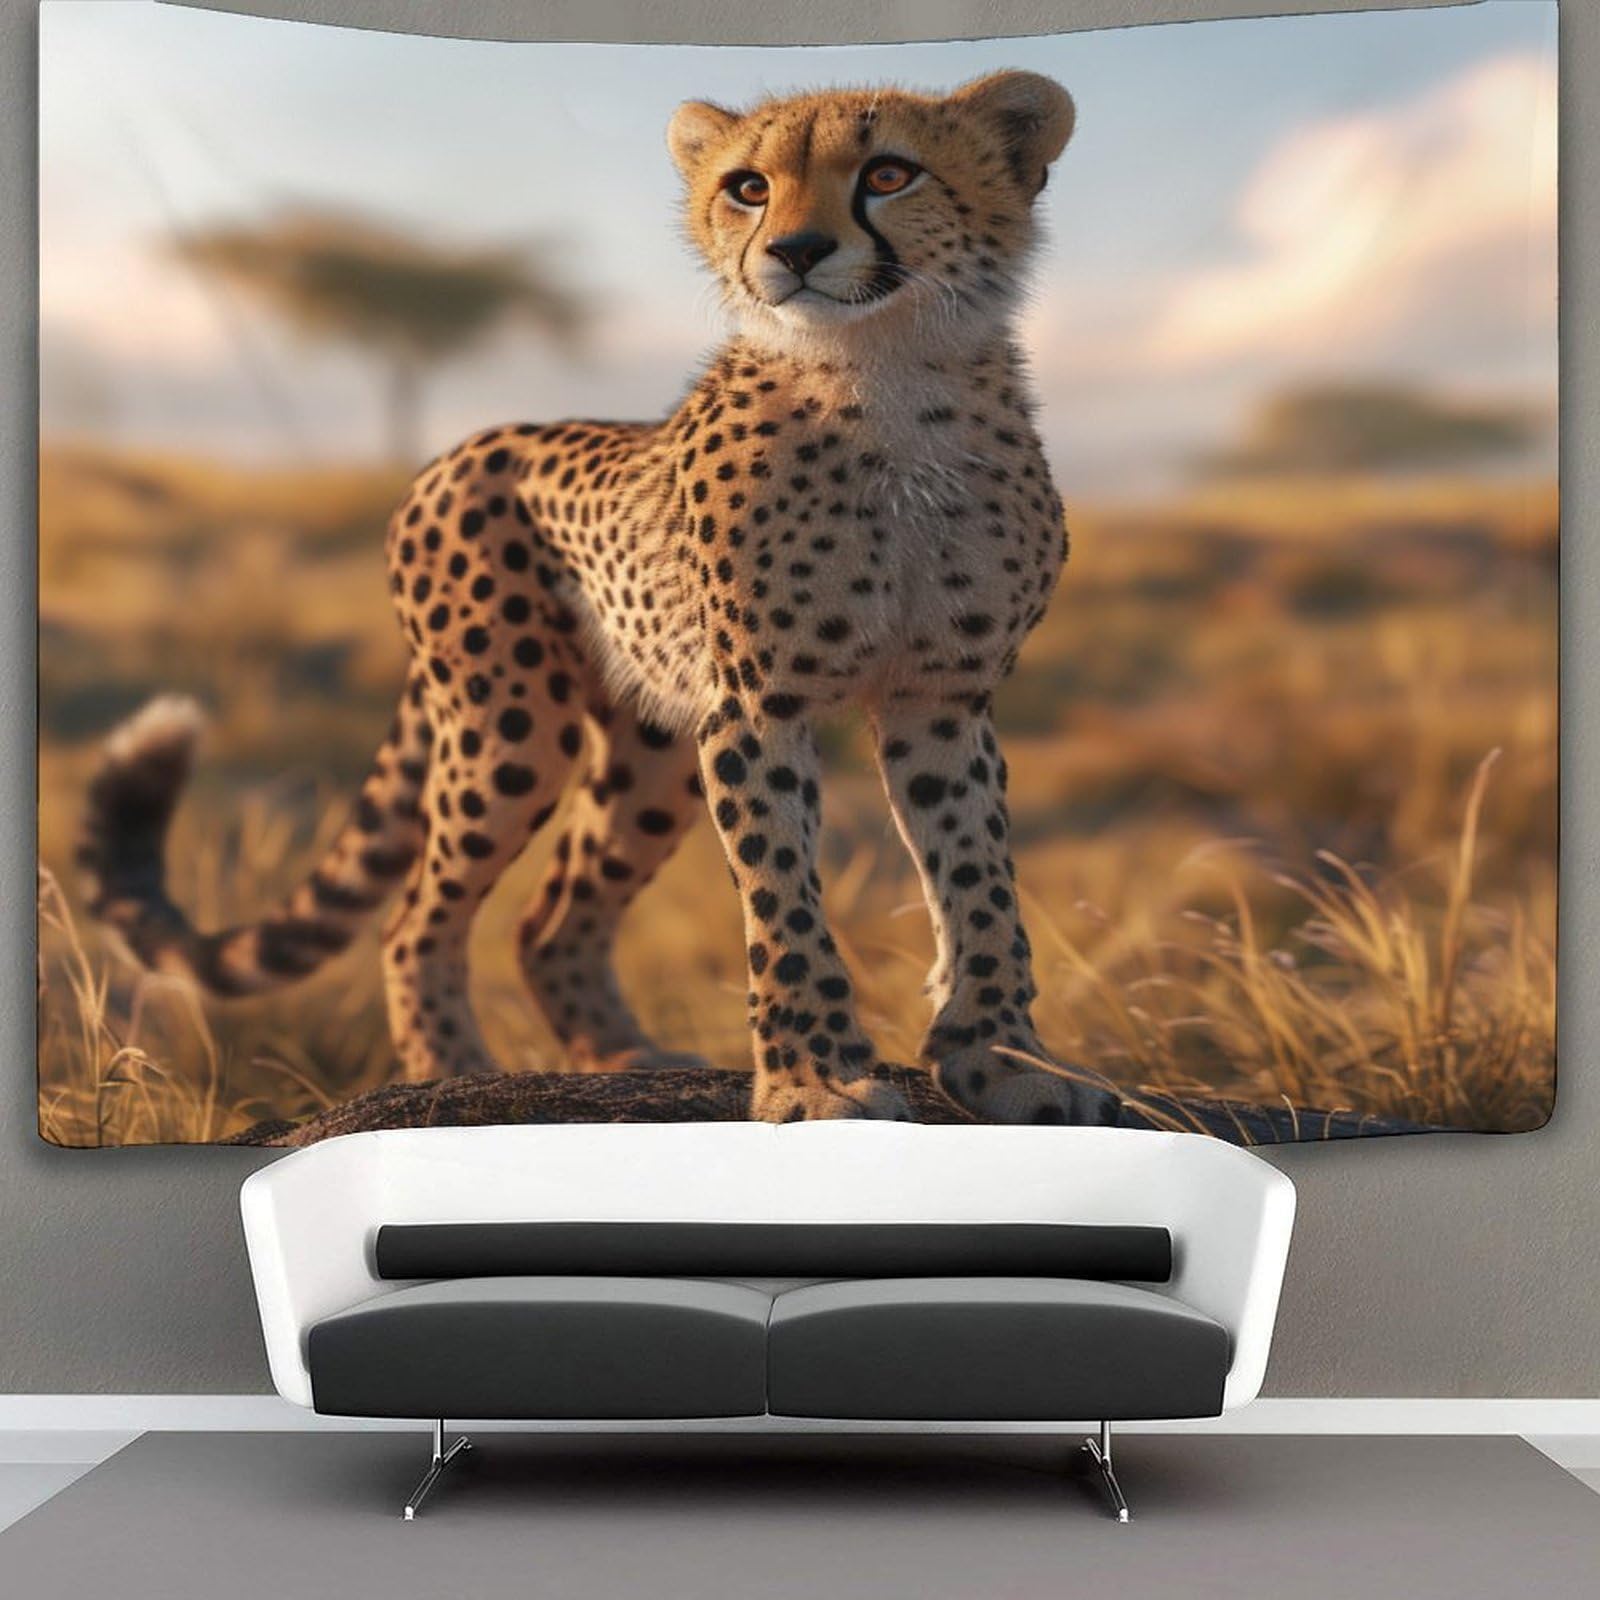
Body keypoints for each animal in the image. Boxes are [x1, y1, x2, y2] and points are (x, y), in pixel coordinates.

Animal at [79, 70, 1121, 1127]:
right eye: (748, 187)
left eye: (889, 173)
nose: (794, 251)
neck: (889, 378)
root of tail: (453, 452)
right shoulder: (757, 708)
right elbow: (781, 899)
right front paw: (814, 1081)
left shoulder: (940, 700)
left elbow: (980, 879)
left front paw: (1005, 1059)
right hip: (508, 727)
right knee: (417, 916)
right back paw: (454, 1073)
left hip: (651, 754)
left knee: (548, 919)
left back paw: (625, 1056)